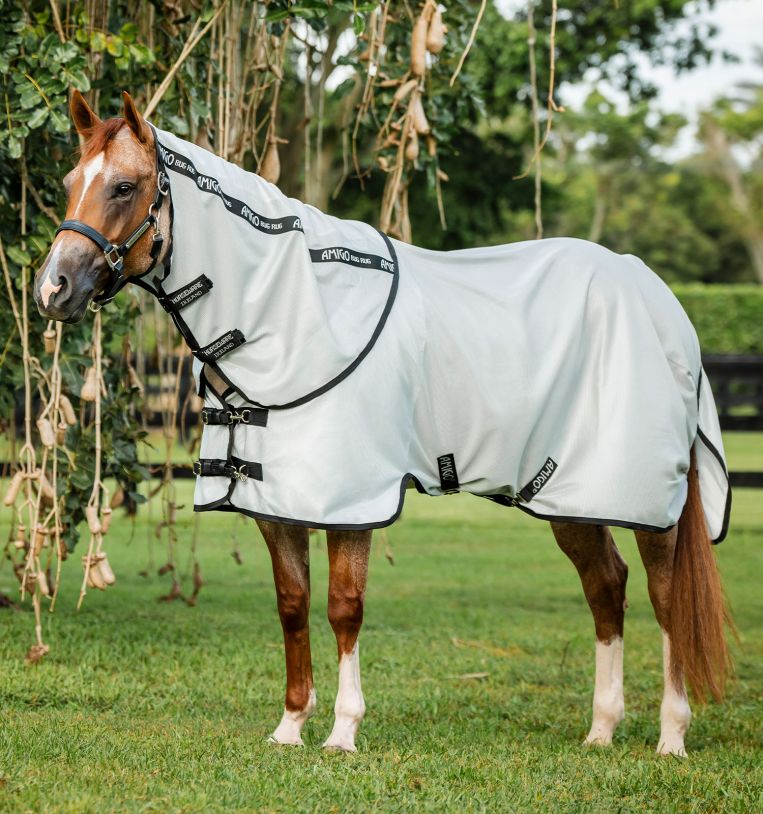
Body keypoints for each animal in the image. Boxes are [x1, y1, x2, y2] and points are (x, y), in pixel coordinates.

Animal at [34, 90, 732, 756]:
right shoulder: (275, 502)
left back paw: (671, 736)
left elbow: (345, 608)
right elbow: (293, 606)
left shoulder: (352, 501)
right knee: (605, 586)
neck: (293, 314)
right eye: (69, 181)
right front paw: (290, 727)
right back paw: (602, 730)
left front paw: (343, 732)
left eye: (125, 186)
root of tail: (658, 297)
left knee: (666, 597)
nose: (53, 288)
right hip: (569, 494)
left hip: (646, 499)